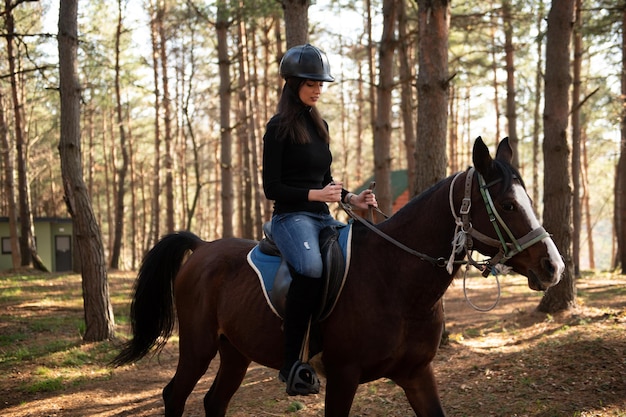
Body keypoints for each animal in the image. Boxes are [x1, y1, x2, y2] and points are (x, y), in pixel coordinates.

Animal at [113, 138, 564, 414]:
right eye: (507, 205)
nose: (553, 266)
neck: (397, 284)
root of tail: (203, 246)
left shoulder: (417, 374)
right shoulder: (343, 378)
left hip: (235, 351)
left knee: (214, 402)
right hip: (198, 345)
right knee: (174, 395)